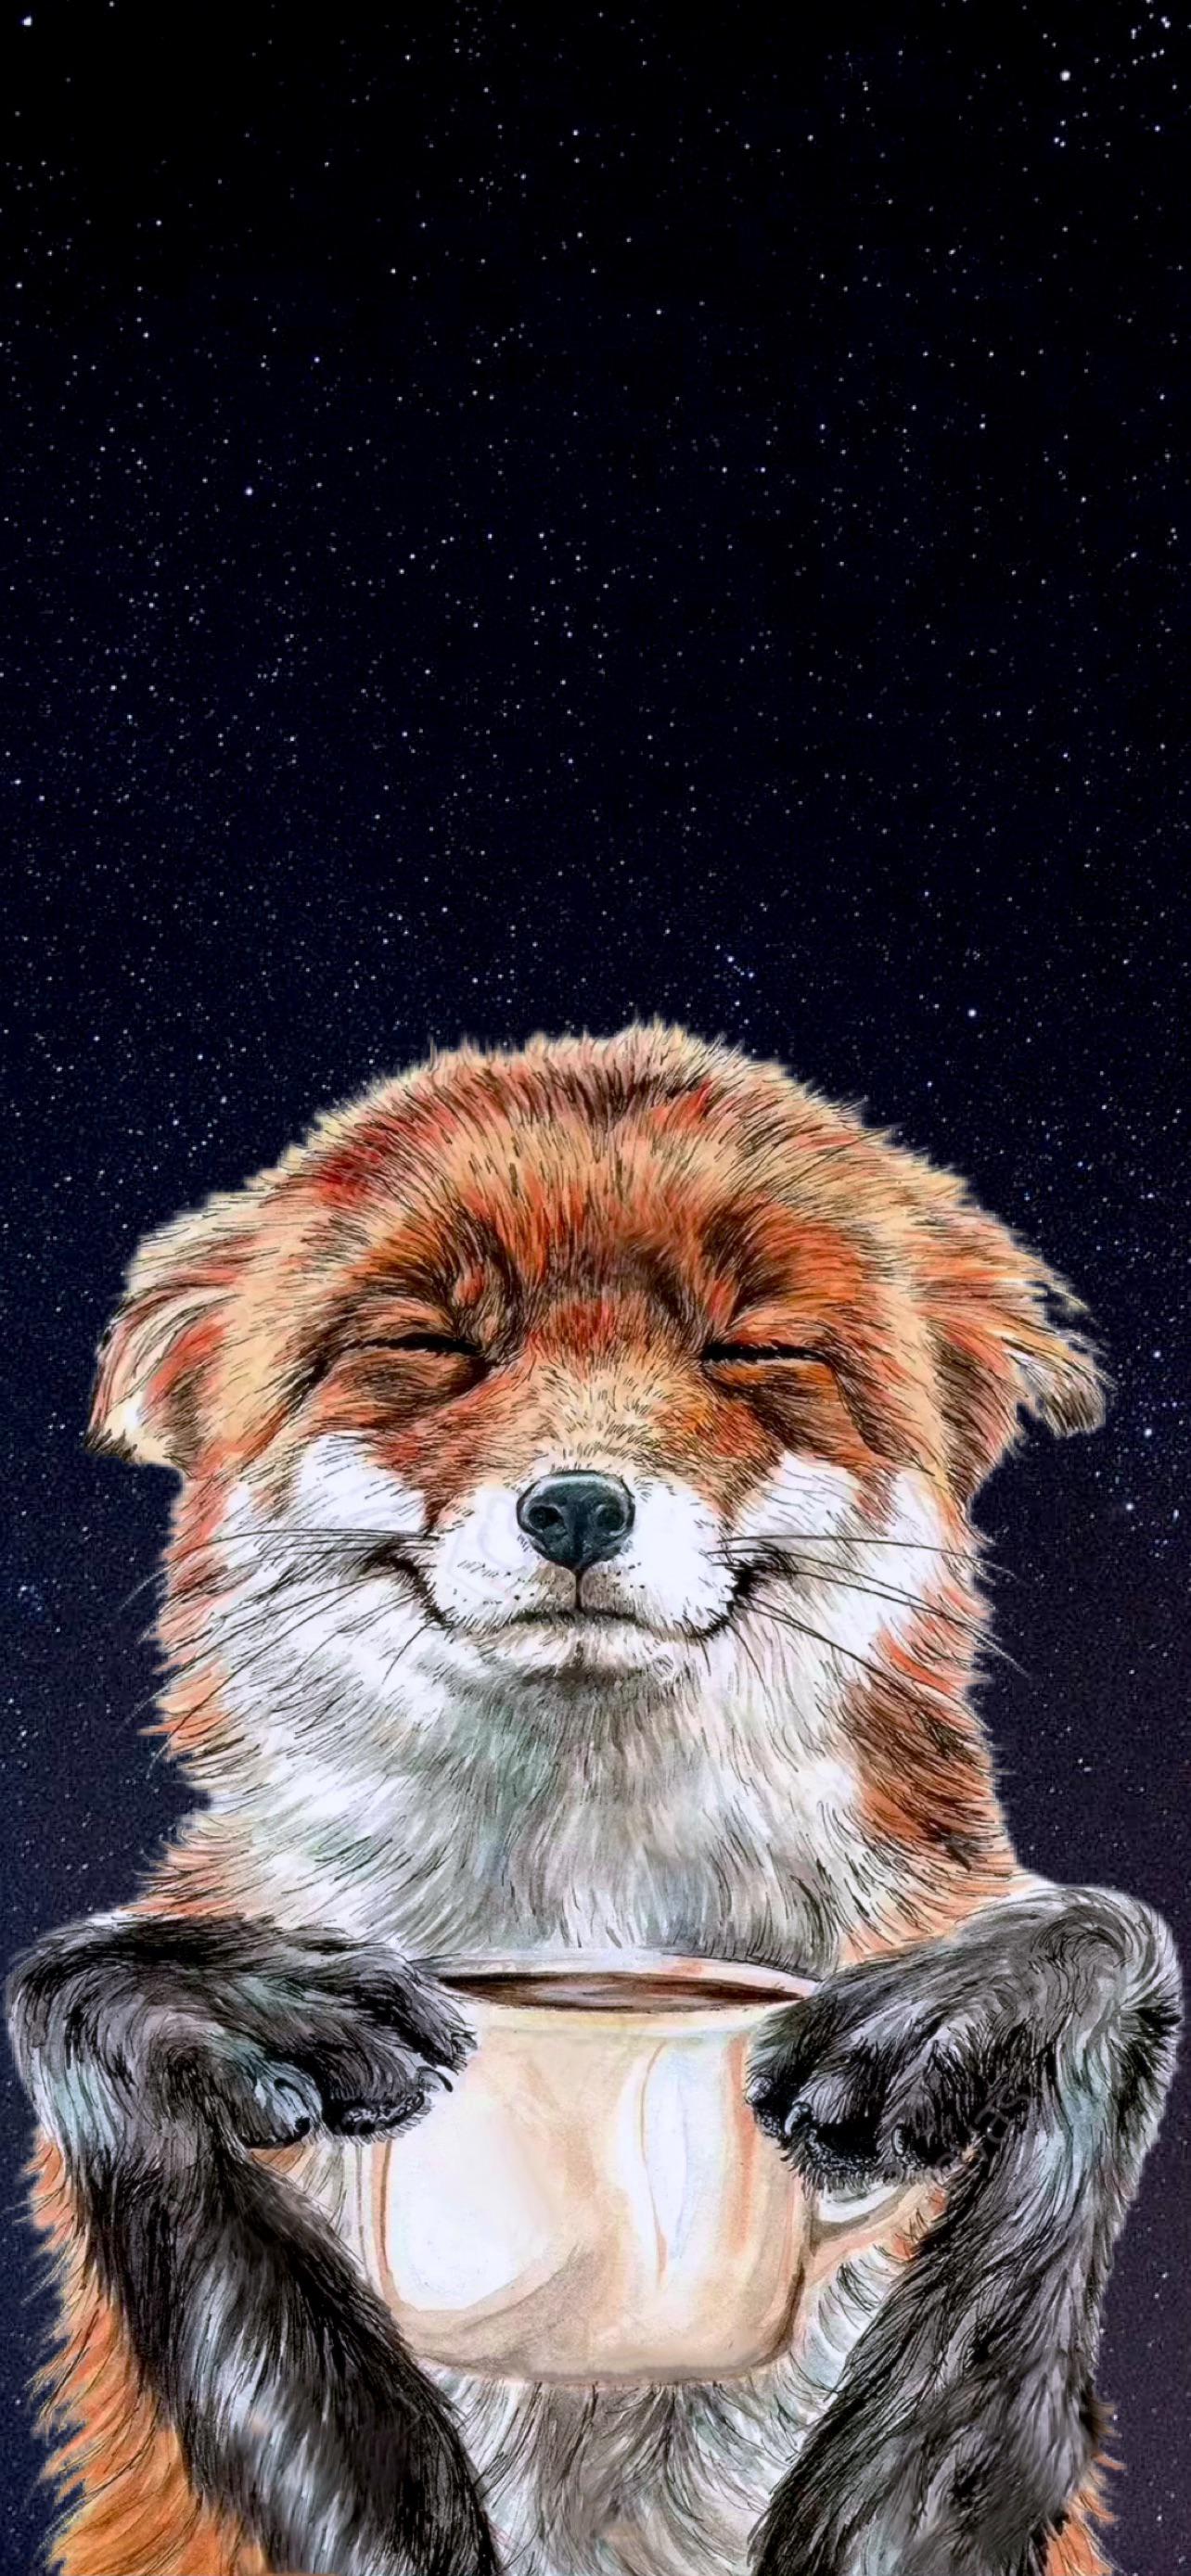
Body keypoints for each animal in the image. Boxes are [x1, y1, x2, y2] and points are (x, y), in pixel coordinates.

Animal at [8, 1023, 1180, 2576]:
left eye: (753, 1346)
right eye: (431, 1343)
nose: (576, 1507)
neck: (588, 1916)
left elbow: (1112, 1941)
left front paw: (986, 2007)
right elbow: (76, 1993)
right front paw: (225, 2001)